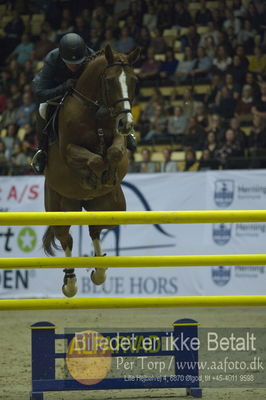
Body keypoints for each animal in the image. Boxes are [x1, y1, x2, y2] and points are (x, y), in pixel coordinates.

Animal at [42, 45, 139, 298]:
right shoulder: (69, 150)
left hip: (112, 208)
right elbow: (94, 159)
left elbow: (114, 153)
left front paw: (107, 175)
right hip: (61, 208)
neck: (95, 110)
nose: (127, 123)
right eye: (109, 81)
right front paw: (93, 178)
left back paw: (99, 270)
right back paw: (70, 284)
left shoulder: (118, 140)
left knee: (95, 229)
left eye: (133, 80)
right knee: (66, 239)